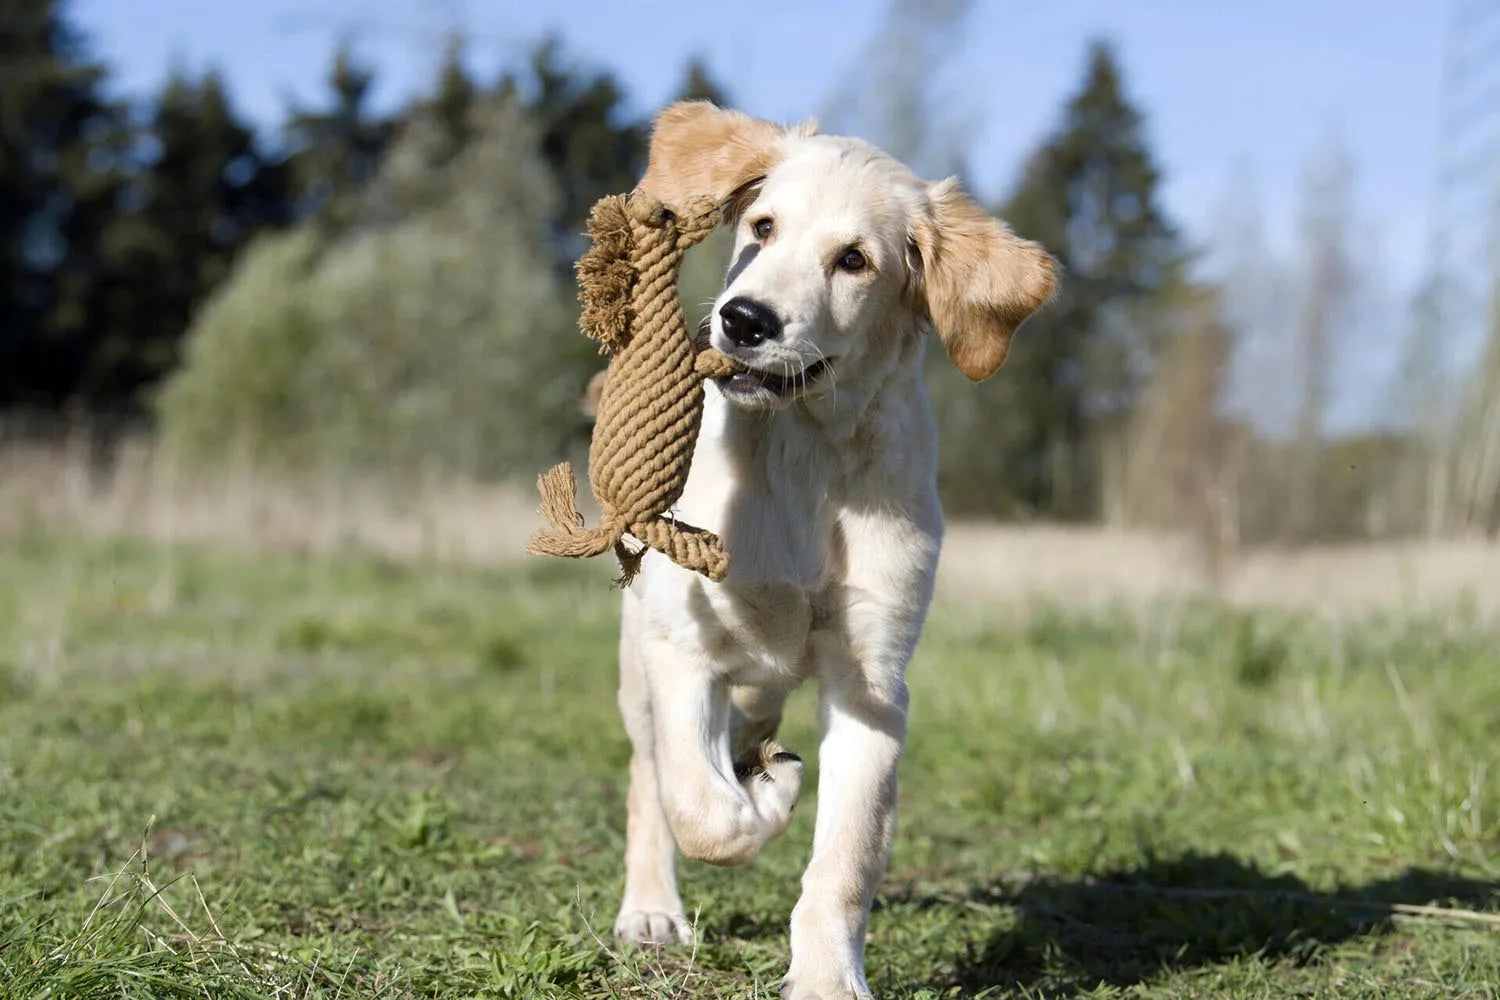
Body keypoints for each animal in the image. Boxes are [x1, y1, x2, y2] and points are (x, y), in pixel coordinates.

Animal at [609, 97, 1056, 995]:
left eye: (854, 261)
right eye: (762, 226)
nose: (744, 320)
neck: (804, 449)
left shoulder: (872, 683)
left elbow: (845, 861)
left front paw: (823, 976)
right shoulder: (682, 642)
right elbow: (700, 809)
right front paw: (765, 799)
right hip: (637, 657)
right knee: (651, 778)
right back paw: (652, 908)